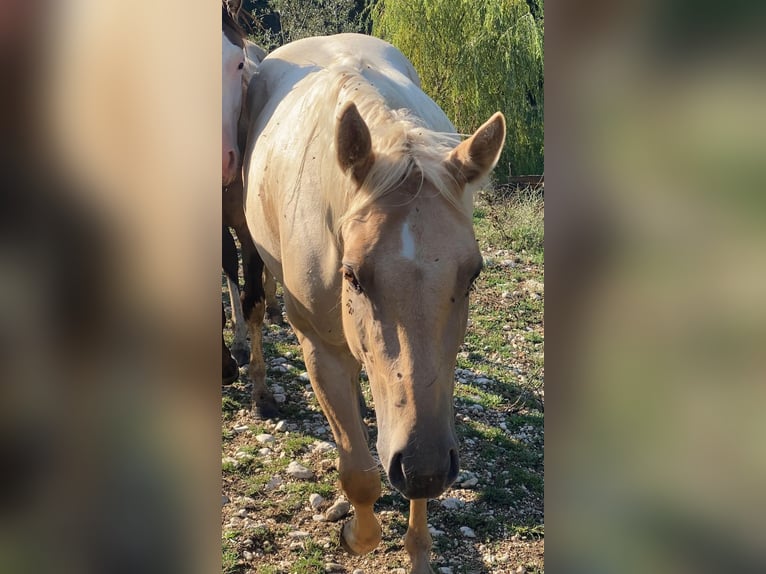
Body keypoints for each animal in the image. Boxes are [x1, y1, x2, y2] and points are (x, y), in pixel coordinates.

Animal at [246, 33, 508, 572]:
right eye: (353, 275)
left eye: (473, 275)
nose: (428, 468)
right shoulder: (320, 350)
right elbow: (360, 474)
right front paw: (354, 533)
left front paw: (420, 552)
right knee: (256, 310)